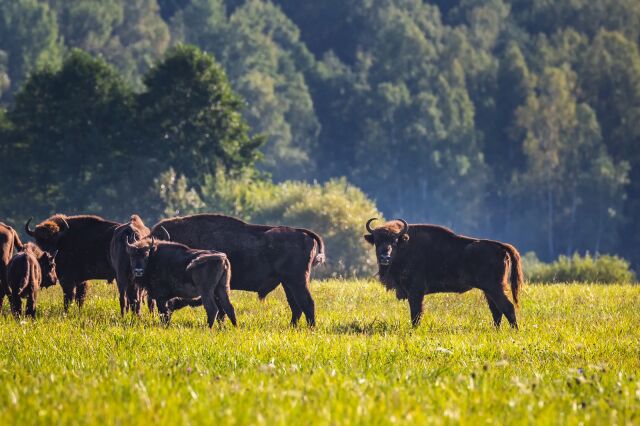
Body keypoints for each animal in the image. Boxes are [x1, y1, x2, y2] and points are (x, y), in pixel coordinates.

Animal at [151, 213, 324, 326]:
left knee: (307, 303)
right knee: (296, 306)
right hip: (287, 283)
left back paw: (311, 329)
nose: (163, 319)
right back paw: (292, 327)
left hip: (297, 281)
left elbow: (220, 310)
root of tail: (303, 233)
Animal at [362, 218, 524, 328]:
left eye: (394, 241)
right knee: (496, 311)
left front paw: (414, 329)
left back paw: (514, 331)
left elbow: (416, 313)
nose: (384, 257)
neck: (405, 245)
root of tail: (500, 247)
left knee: (507, 307)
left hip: (494, 288)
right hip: (488, 290)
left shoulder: (415, 291)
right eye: (377, 241)